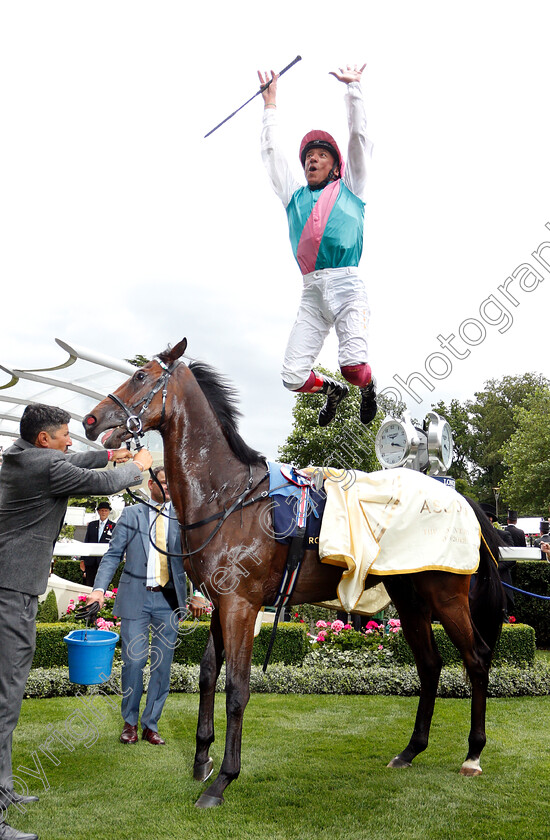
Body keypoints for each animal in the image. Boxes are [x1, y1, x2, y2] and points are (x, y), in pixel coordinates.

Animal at [85, 340, 508, 808]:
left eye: (140, 376)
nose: (91, 419)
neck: (228, 496)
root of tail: (459, 498)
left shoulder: (242, 605)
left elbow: (237, 689)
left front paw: (223, 779)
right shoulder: (219, 603)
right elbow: (208, 675)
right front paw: (201, 759)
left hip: (446, 597)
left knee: (476, 658)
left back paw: (473, 753)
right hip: (410, 598)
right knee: (431, 665)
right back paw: (411, 750)